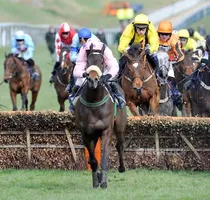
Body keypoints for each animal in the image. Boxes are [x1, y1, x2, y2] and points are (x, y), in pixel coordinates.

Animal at [74, 43, 127, 188]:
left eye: (102, 62)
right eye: (88, 61)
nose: (93, 80)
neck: (94, 101)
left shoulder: (106, 130)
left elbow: (104, 158)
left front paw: (103, 182)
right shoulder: (86, 133)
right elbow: (93, 160)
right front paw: (96, 179)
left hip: (119, 127)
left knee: (120, 145)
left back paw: (122, 168)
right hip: (95, 134)